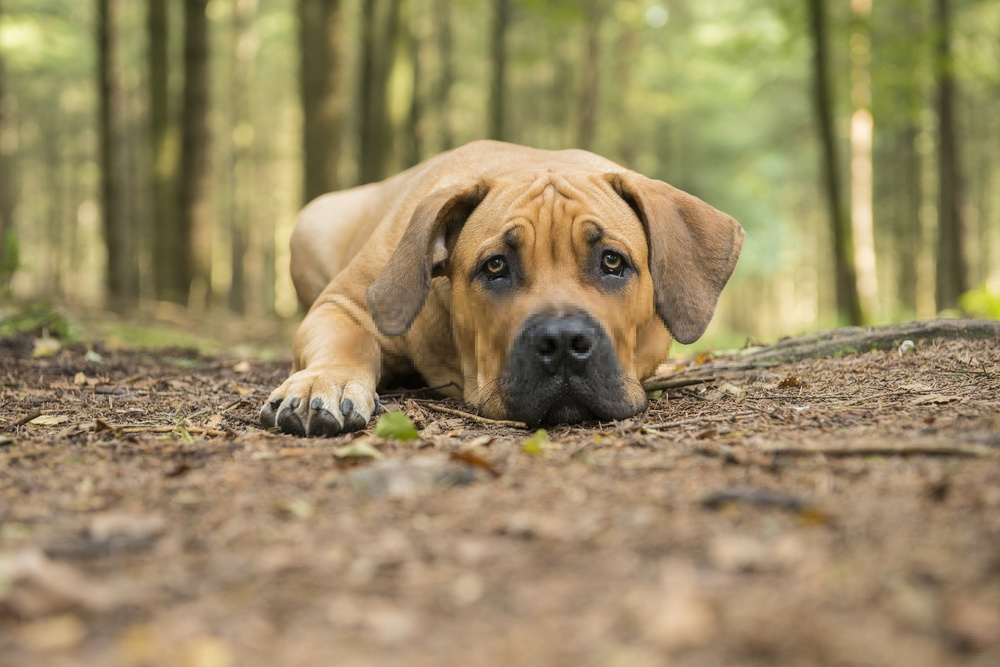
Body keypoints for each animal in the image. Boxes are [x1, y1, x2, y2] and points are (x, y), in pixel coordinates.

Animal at [258, 140, 744, 438]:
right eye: (496, 266)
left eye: (612, 261)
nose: (563, 342)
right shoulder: (343, 303)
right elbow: (348, 340)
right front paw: (327, 381)